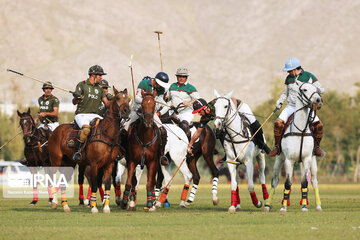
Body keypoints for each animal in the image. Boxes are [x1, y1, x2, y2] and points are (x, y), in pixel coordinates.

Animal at [262, 81, 324, 213]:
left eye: (316, 89)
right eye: (304, 89)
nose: (318, 100)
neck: (301, 130)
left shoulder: (306, 159)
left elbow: (304, 183)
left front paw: (304, 206)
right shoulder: (288, 160)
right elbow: (287, 183)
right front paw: (283, 207)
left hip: (313, 160)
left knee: (314, 181)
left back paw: (318, 206)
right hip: (279, 159)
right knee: (275, 181)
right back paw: (268, 205)